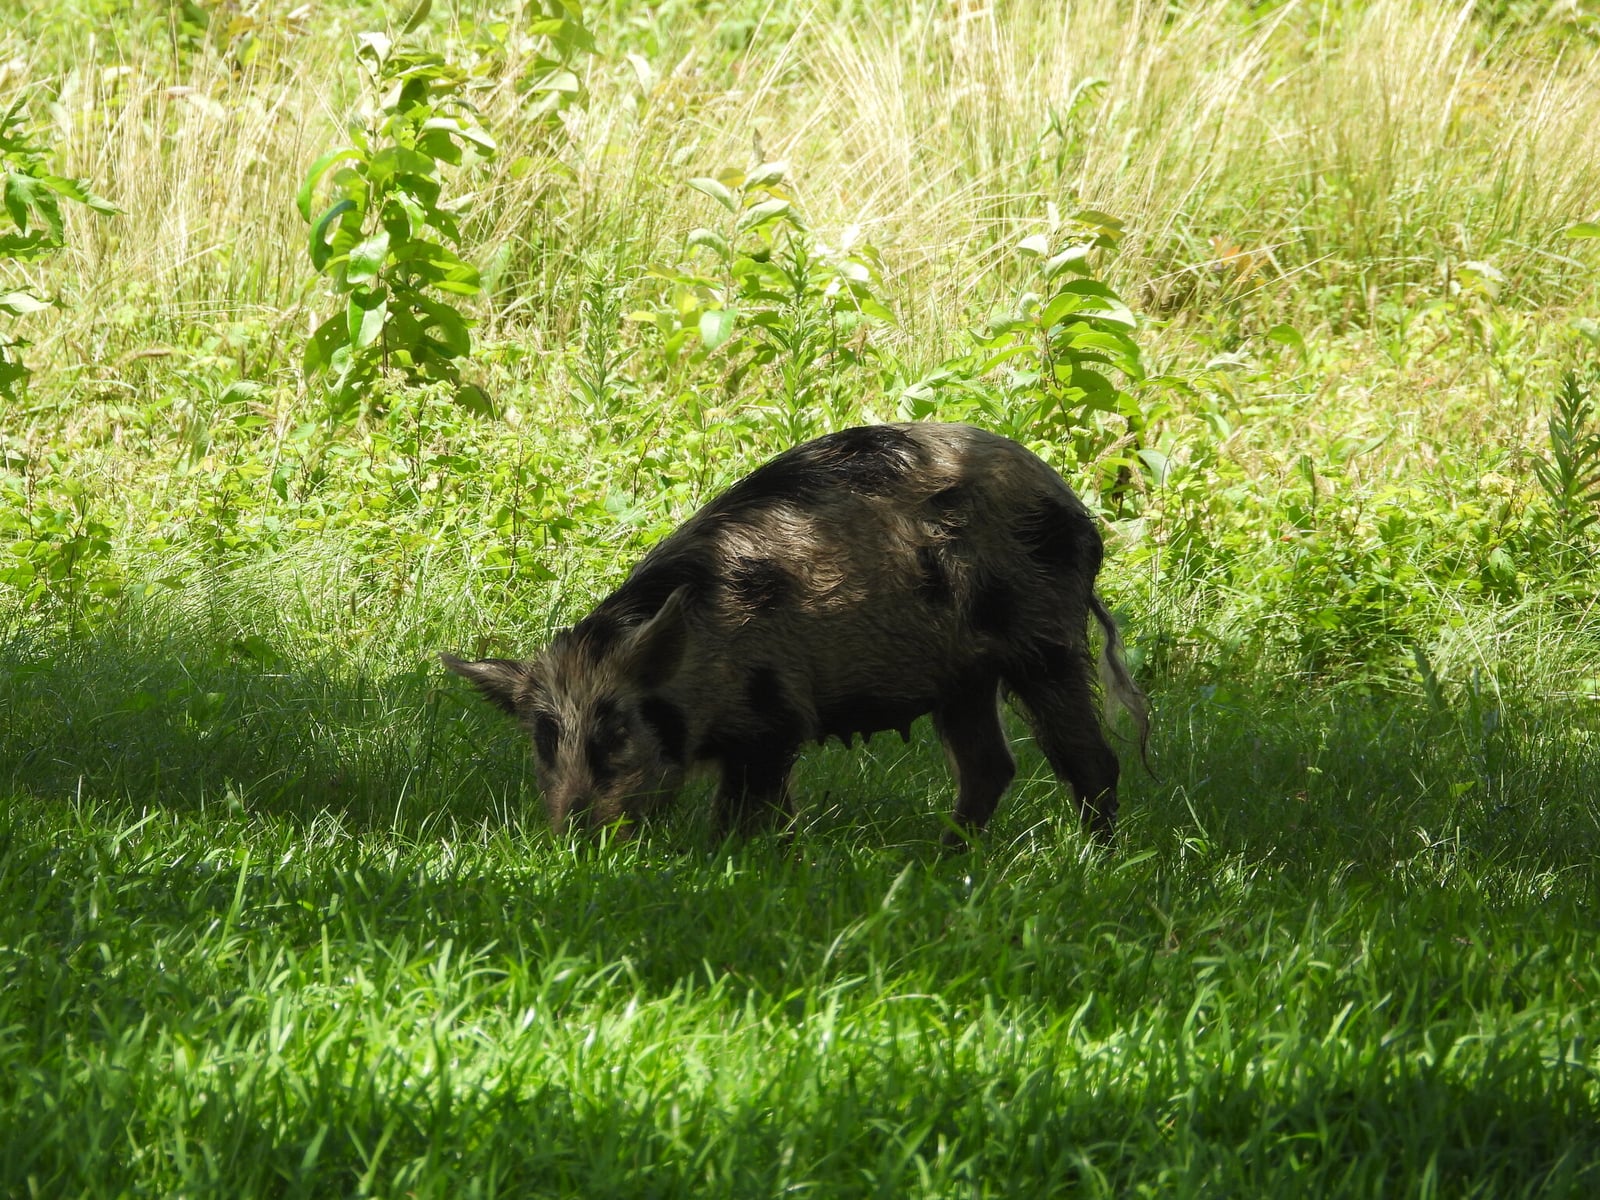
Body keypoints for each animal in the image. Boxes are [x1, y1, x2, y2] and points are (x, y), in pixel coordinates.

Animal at [443, 422, 1148, 842]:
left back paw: (1095, 861)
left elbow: (749, 809)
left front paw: (734, 862)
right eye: (542, 739)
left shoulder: (775, 718)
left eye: (617, 730)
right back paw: (943, 861)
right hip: (963, 677)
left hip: (1045, 639)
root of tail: (1077, 509)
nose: (574, 832)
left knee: (1093, 760)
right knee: (990, 768)